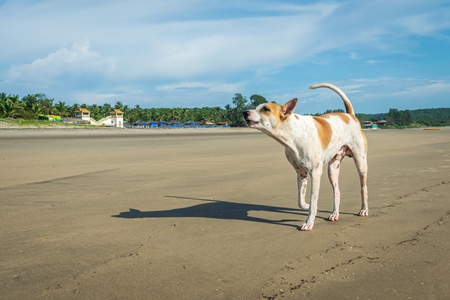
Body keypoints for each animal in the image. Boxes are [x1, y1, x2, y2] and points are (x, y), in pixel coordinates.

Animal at [244, 83, 368, 231]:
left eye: (265, 109)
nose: (244, 112)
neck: (293, 133)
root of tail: (350, 115)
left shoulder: (315, 173)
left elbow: (313, 200)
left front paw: (309, 222)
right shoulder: (301, 172)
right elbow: (300, 201)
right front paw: (308, 206)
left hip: (361, 163)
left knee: (363, 188)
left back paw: (364, 210)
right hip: (332, 169)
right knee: (337, 192)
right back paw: (334, 214)